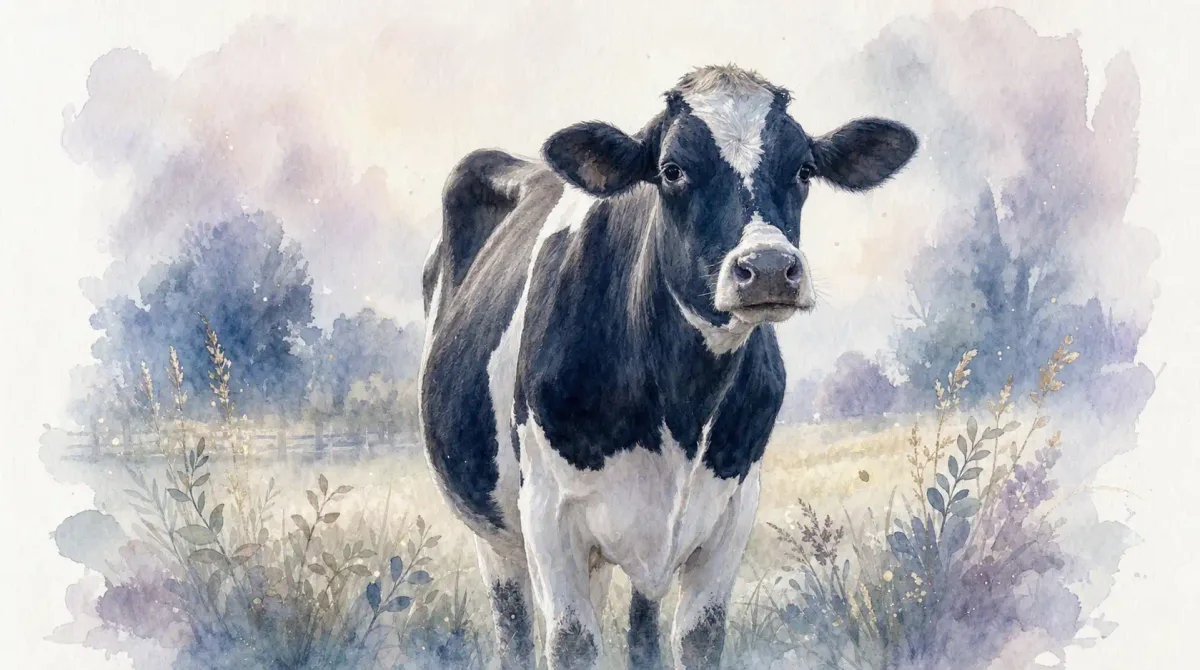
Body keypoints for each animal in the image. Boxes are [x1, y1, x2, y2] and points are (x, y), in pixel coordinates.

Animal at [419, 65, 917, 670]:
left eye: (803, 168)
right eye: (671, 170)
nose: (768, 267)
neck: (682, 404)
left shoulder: (731, 512)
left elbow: (697, 639)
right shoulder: (546, 515)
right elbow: (570, 643)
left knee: (640, 630)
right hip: (494, 533)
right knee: (512, 628)